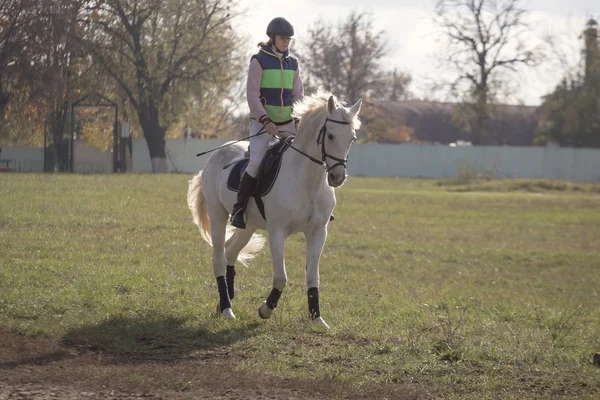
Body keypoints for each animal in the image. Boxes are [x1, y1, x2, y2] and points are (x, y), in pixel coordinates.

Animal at [188, 93, 360, 328]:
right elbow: (281, 277)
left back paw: (225, 301)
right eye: (331, 135)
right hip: (218, 216)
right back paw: (226, 309)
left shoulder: (318, 232)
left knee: (231, 252)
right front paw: (265, 309)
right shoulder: (277, 232)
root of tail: (219, 152)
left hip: (248, 225)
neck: (307, 180)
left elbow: (312, 277)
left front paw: (317, 318)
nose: (337, 177)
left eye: (352, 138)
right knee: (219, 258)